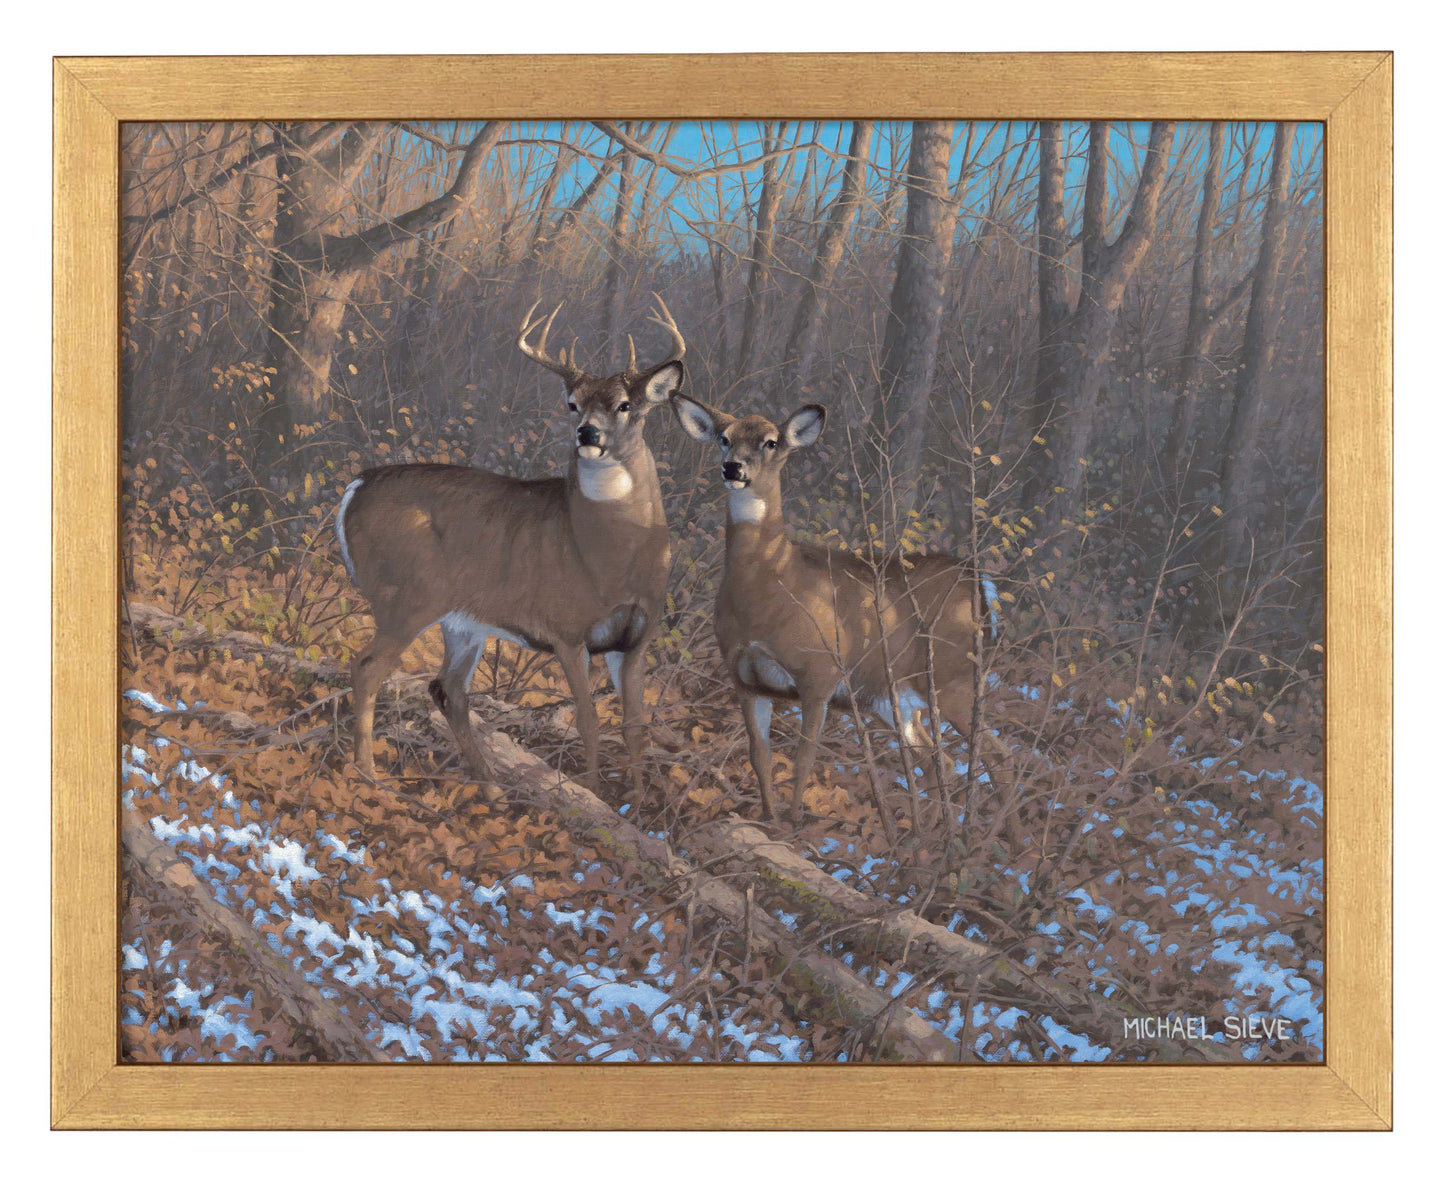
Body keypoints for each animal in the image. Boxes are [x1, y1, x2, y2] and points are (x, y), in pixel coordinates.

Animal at [336, 295, 686, 800]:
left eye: (625, 405)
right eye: (572, 403)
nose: (587, 434)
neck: (615, 560)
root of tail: (355, 487)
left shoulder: (635, 639)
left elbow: (634, 726)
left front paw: (635, 804)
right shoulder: (566, 628)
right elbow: (588, 720)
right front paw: (590, 794)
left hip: (462, 619)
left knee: (447, 688)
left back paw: (491, 788)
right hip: (406, 596)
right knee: (367, 667)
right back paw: (370, 776)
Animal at [670, 394, 1001, 825]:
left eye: (771, 442)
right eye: (724, 438)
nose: (733, 467)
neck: (772, 585)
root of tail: (978, 583)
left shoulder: (819, 673)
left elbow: (803, 758)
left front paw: (794, 824)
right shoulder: (744, 679)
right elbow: (760, 756)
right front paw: (768, 819)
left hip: (952, 676)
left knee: (995, 755)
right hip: (892, 698)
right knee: (937, 761)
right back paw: (923, 833)